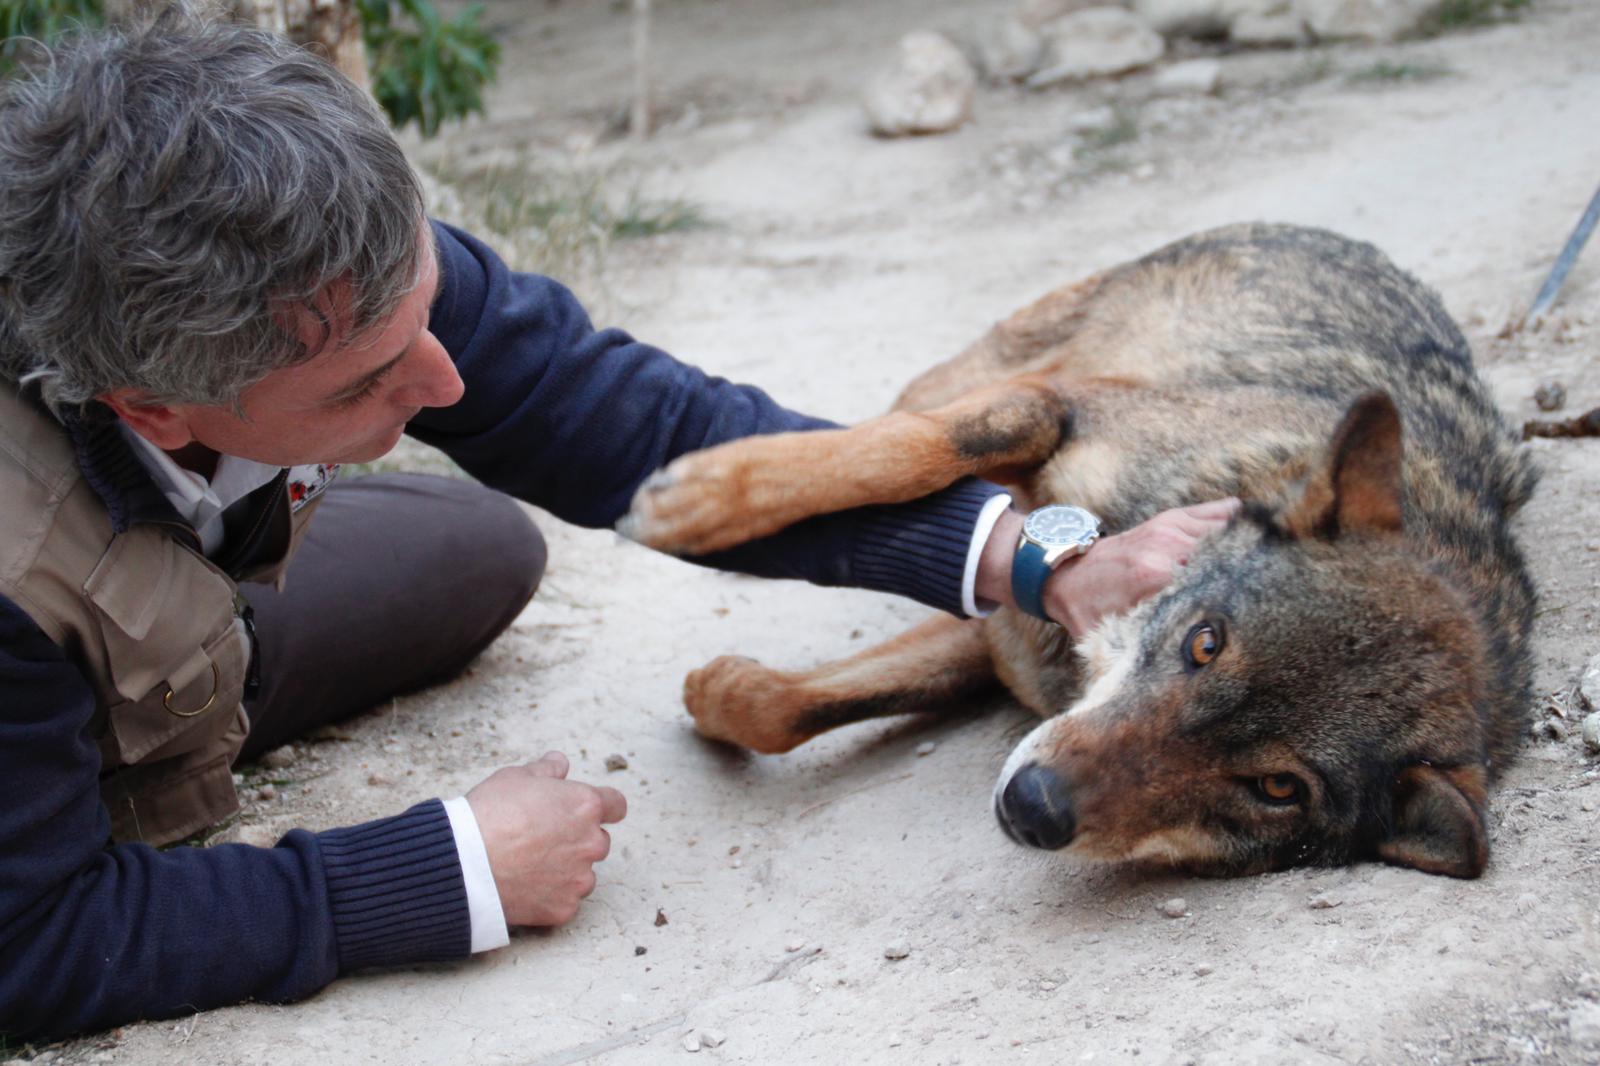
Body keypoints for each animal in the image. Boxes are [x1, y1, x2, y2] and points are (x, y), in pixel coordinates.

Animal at [623, 223, 1537, 879]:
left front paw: (718, 688)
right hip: (977, 372)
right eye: (1205, 643)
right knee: (892, 421)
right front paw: (701, 500)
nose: (1035, 806)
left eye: (1275, 790)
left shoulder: (1000, 623)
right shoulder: (1052, 411)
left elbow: (785, 709)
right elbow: (910, 451)